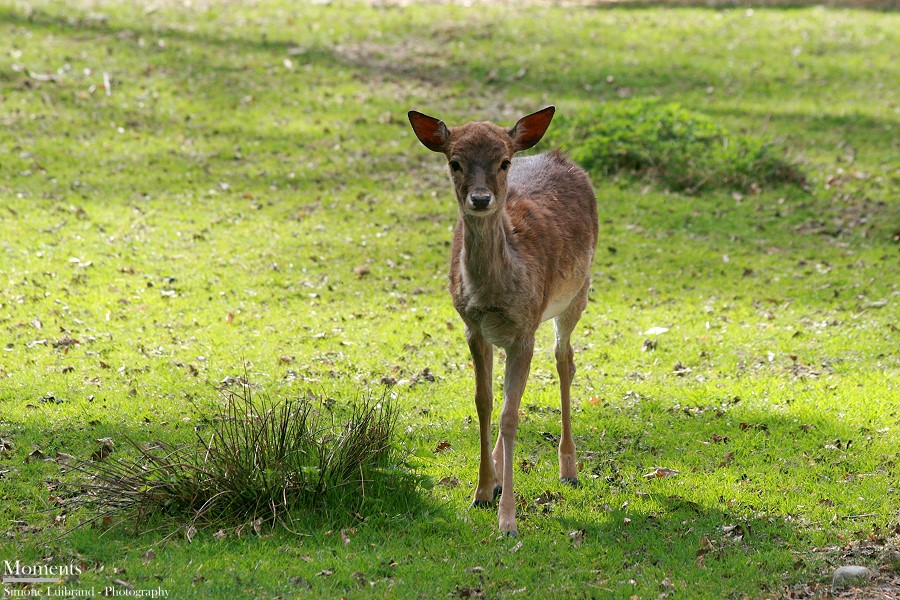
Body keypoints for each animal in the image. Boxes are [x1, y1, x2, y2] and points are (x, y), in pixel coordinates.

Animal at [408, 106, 596, 536]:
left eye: (503, 162)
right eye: (454, 162)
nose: (480, 198)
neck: (493, 297)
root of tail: (559, 155)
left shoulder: (525, 328)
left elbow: (511, 416)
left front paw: (508, 520)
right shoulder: (473, 328)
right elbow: (485, 402)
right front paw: (480, 492)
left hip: (577, 292)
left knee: (565, 359)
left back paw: (569, 469)